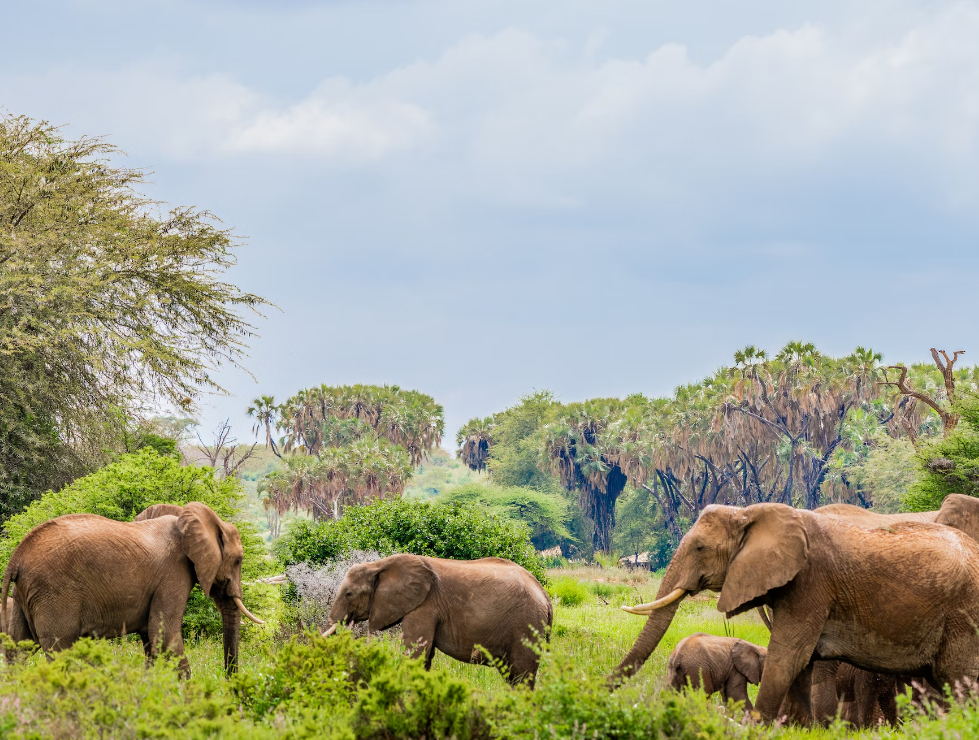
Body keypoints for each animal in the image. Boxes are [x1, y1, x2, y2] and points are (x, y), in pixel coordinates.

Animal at [0, 502, 264, 676]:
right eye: (238, 560)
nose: (230, 684)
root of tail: (16, 557)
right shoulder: (173, 574)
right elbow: (165, 636)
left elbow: (151, 641)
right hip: (53, 593)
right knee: (60, 651)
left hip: (24, 595)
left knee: (19, 649)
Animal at [322, 552, 552, 684]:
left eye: (349, 594)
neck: (379, 565)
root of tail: (545, 597)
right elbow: (425, 655)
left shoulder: (424, 605)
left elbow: (417, 652)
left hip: (526, 624)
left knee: (521, 675)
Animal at [612, 502, 979, 724]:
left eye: (700, 547)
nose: (604, 689)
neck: (750, 513)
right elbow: (802, 663)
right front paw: (797, 728)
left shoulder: (810, 584)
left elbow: (787, 656)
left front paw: (757, 726)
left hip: (963, 616)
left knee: (959, 681)